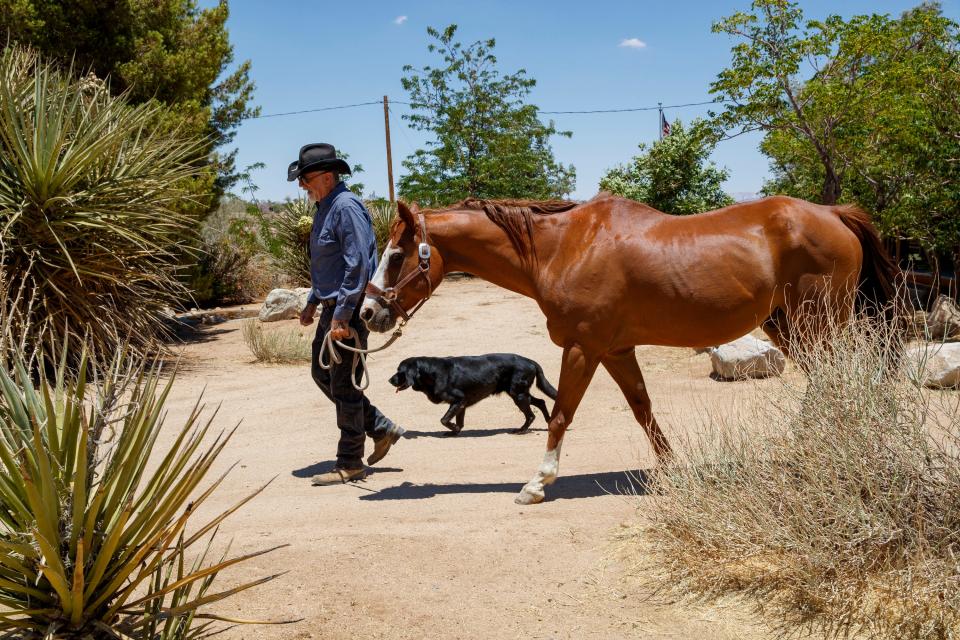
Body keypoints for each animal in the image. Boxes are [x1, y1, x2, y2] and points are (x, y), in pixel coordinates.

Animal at [388, 352, 560, 438]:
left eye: (399, 371)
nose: (389, 380)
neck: (431, 373)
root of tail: (530, 361)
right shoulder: (461, 404)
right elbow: (457, 422)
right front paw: (455, 431)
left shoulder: (459, 400)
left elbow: (444, 419)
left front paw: (453, 428)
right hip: (520, 393)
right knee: (541, 401)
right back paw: (548, 420)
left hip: (518, 394)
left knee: (531, 414)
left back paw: (521, 430)